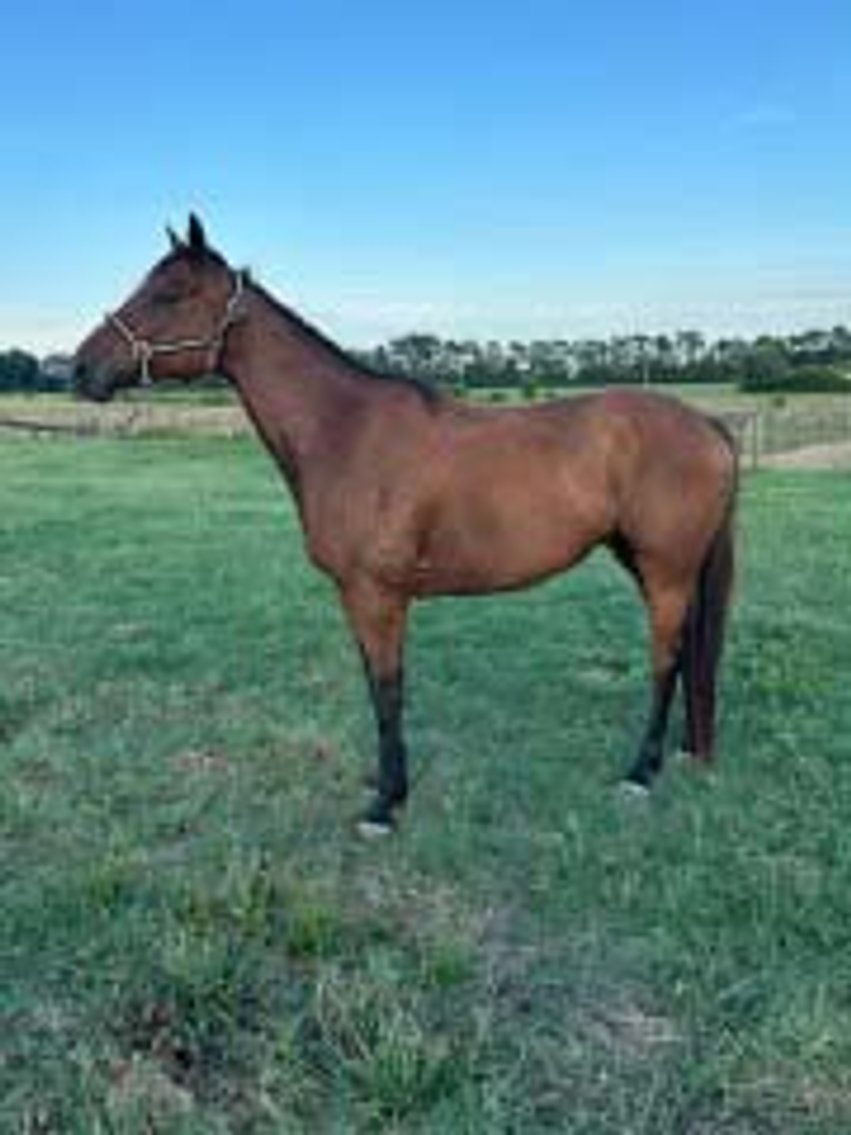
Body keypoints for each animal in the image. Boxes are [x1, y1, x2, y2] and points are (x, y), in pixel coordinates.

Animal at [74, 214, 738, 836]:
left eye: (170, 294)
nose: (78, 370)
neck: (345, 430)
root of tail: (706, 424)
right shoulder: (358, 598)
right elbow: (376, 687)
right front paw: (386, 783)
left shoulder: (377, 596)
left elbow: (388, 690)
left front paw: (385, 805)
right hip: (644, 562)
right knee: (683, 652)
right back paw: (681, 750)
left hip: (666, 569)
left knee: (664, 657)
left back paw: (640, 773)